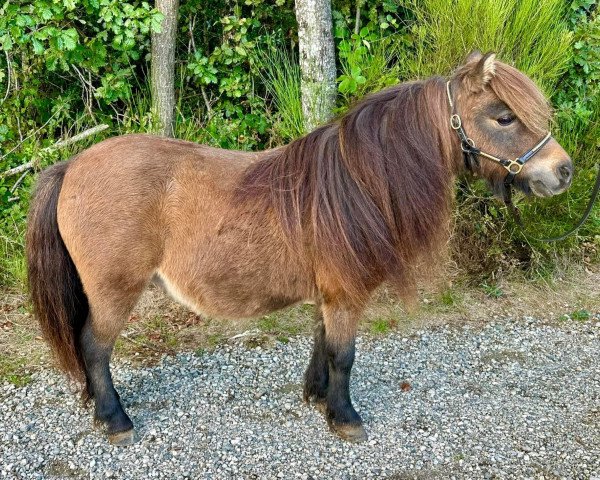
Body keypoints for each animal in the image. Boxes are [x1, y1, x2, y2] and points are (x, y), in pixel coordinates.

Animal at [27, 50, 572, 444]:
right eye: (503, 117)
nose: (563, 171)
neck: (362, 184)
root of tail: (71, 166)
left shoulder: (329, 293)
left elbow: (321, 345)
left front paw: (316, 397)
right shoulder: (347, 295)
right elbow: (343, 355)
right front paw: (345, 417)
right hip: (114, 291)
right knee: (94, 348)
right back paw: (115, 420)